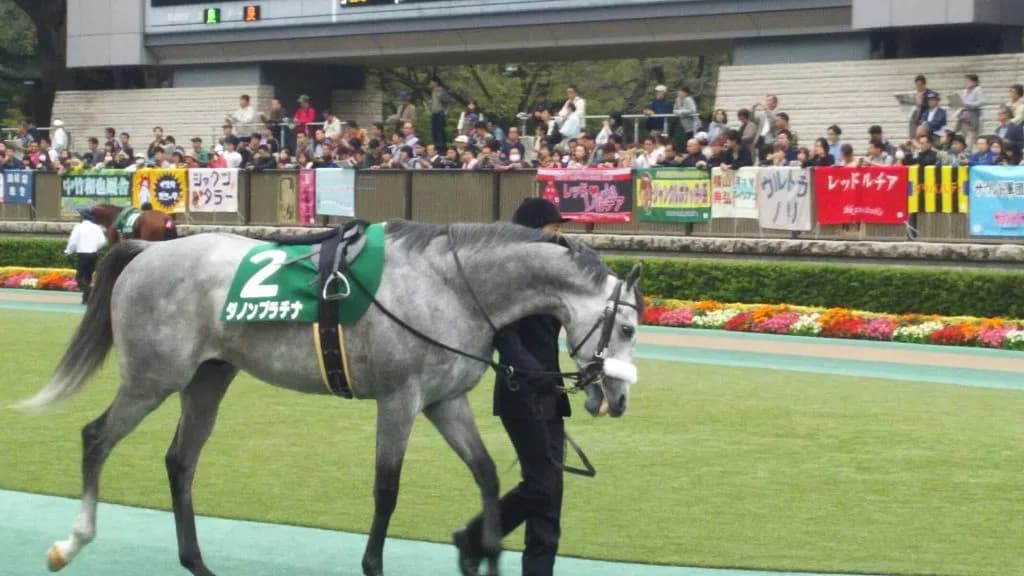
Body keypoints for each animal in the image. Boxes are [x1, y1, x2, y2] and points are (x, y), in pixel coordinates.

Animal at [15, 220, 644, 576]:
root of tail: (146, 250)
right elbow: (387, 489)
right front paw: (374, 566)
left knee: (180, 461)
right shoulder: (400, 398)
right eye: (629, 328)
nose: (616, 399)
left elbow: (487, 473)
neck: (448, 286)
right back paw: (71, 542)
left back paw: (197, 562)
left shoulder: (444, 401)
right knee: (96, 437)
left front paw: (483, 552)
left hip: (209, 378)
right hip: (153, 378)